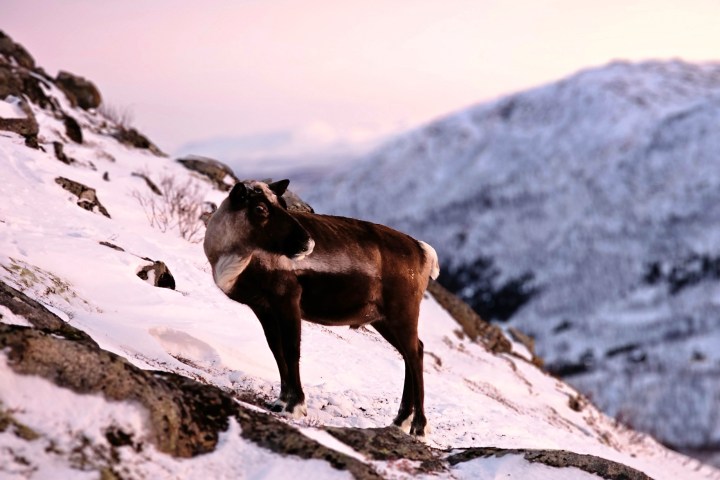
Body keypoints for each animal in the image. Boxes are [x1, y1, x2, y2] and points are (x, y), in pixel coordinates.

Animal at [203, 179, 439, 437]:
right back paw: (400, 421)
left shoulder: (287, 299)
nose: (307, 243)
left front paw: (294, 407)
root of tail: (423, 251)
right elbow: (276, 350)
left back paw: (418, 426)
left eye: (282, 203)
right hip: (382, 320)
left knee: (415, 354)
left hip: (402, 313)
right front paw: (280, 402)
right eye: (260, 209)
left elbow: (291, 350)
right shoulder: (262, 307)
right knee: (412, 352)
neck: (231, 257)